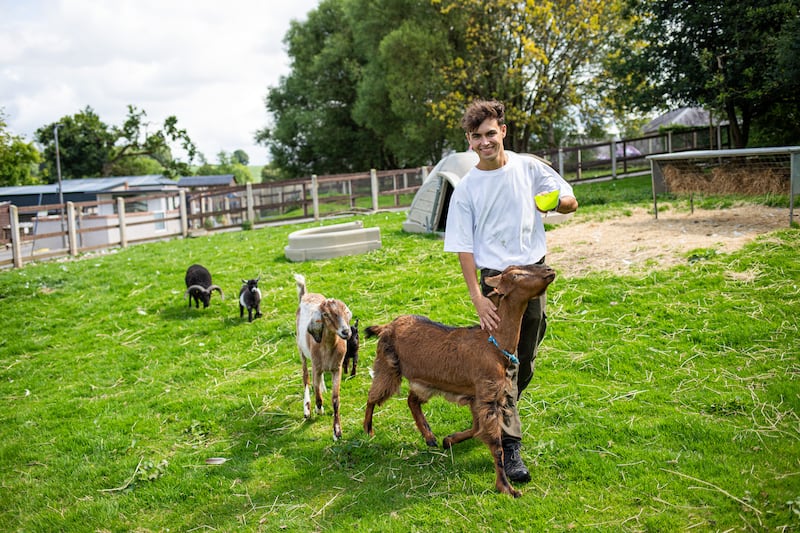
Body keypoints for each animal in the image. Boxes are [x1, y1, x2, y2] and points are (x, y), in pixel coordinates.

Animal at [296, 272, 352, 438]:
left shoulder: (336, 368)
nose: (345, 332)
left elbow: (335, 399)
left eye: (345, 311)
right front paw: (318, 409)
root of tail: (306, 295)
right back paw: (307, 409)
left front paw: (337, 431)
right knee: (305, 377)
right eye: (326, 314)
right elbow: (317, 395)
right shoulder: (316, 366)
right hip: (301, 350)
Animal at [364, 264, 556, 496]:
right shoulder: (487, 395)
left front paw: (449, 440)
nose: (549, 269)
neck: (493, 343)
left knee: (412, 400)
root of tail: (386, 326)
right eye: (516, 275)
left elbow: (476, 428)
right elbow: (495, 444)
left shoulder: (478, 396)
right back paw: (368, 429)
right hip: (388, 367)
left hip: (425, 381)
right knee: (372, 396)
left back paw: (430, 437)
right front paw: (506, 488)